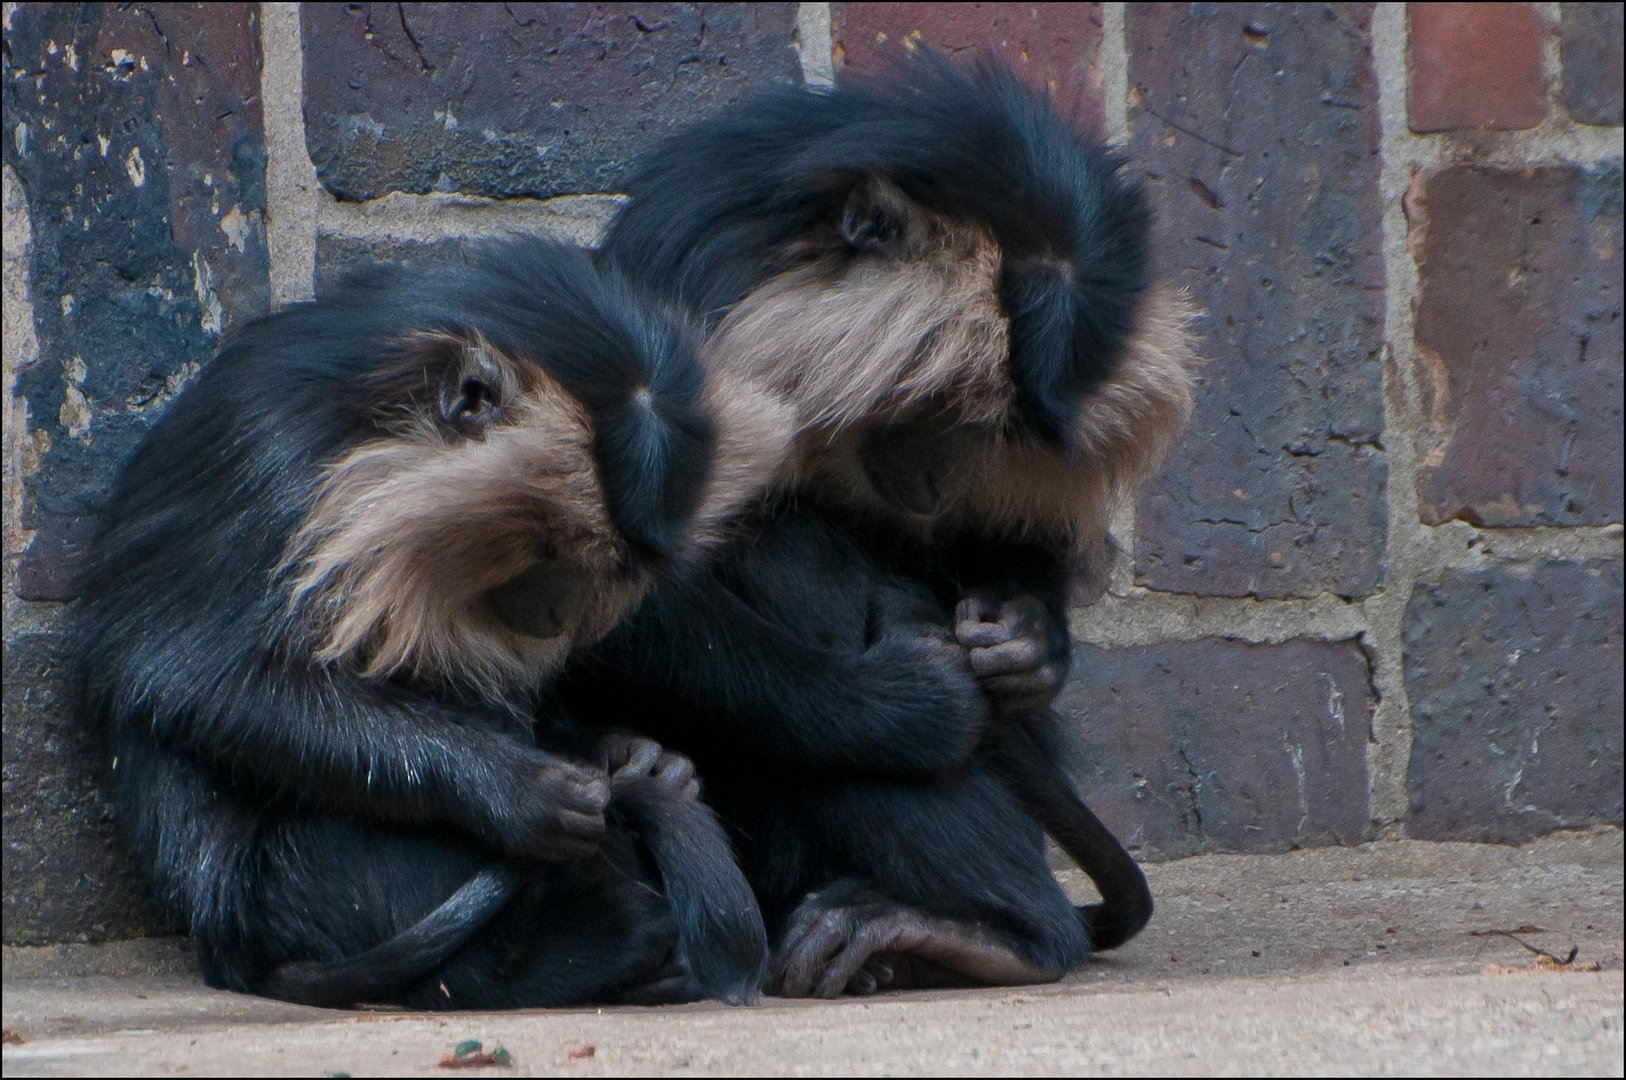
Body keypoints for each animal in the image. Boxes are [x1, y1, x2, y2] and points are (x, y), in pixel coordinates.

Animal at [73, 232, 796, 1008]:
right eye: (555, 550)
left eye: (617, 571)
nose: (557, 614)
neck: (369, 414)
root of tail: (230, 946)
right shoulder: (272, 462)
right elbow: (190, 679)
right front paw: (517, 791)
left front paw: (634, 755)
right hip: (304, 882)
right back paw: (584, 952)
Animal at [559, 52, 1196, 995]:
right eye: (940, 402)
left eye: (998, 430)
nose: (938, 477)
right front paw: (909, 706)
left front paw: (1028, 637)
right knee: (786, 553)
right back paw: (1015, 932)